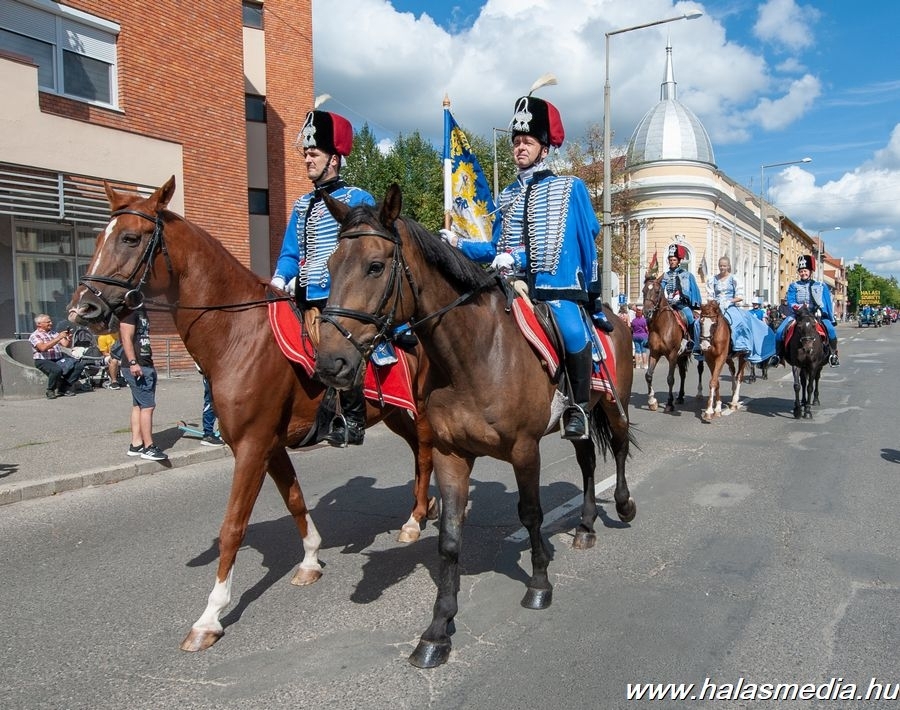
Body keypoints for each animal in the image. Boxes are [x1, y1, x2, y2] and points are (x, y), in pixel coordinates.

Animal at [64, 179, 436, 656]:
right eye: (97, 239)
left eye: (130, 238)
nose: (83, 311)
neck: (238, 335)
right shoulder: (270, 446)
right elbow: (294, 500)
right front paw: (310, 560)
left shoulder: (251, 447)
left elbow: (233, 526)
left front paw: (209, 617)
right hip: (396, 415)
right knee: (420, 457)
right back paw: (424, 510)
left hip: (421, 412)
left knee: (426, 455)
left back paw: (415, 520)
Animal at [312, 185, 636, 672]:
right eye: (330, 265)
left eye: (375, 265)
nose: (331, 364)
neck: (473, 356)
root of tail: (611, 315)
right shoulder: (450, 454)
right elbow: (448, 538)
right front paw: (437, 629)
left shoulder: (524, 450)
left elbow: (531, 513)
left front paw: (539, 584)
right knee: (585, 462)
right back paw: (584, 525)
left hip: (614, 405)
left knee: (616, 448)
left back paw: (622, 505)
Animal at [636, 276, 692, 414]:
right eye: (643, 291)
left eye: (657, 291)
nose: (646, 312)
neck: (661, 327)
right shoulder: (654, 354)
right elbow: (648, 375)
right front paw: (652, 402)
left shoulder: (672, 355)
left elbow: (670, 379)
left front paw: (669, 403)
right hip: (681, 357)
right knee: (682, 374)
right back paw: (680, 397)